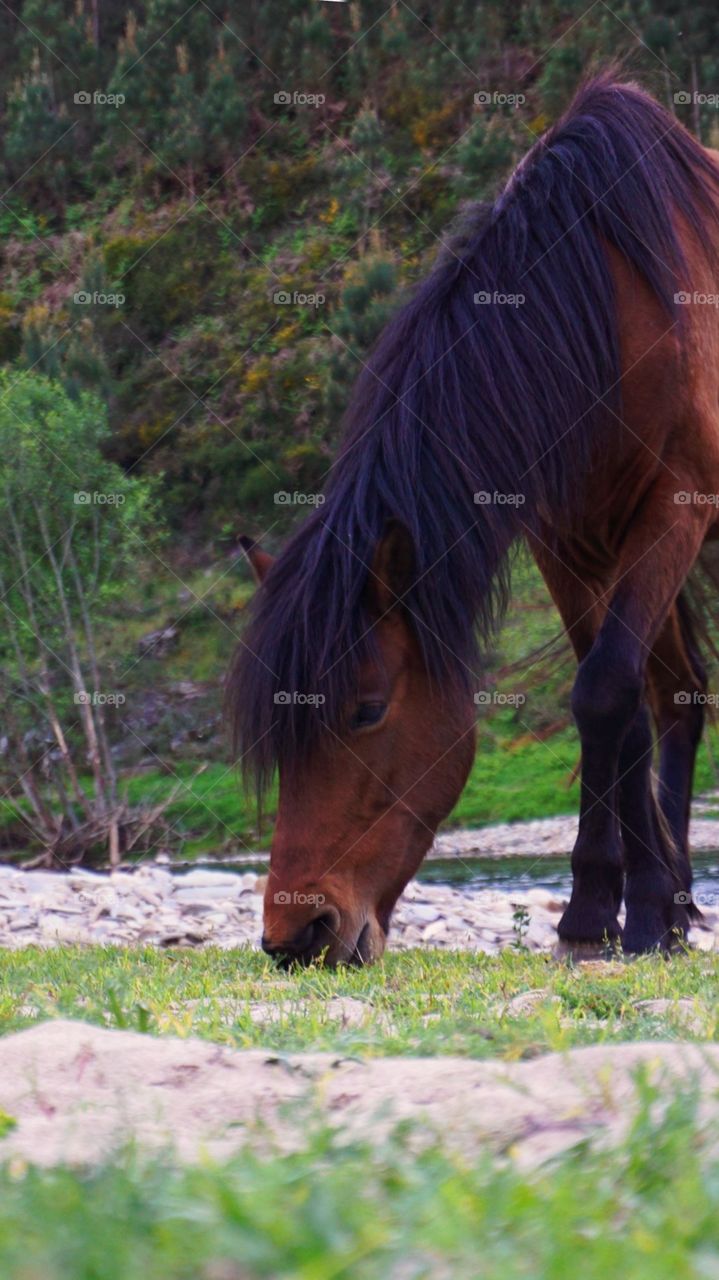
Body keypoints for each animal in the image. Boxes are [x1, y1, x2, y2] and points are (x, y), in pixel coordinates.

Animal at [228, 70, 719, 966]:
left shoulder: (672, 512)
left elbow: (603, 691)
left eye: (366, 709)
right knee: (677, 697)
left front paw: (602, 917)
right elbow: (622, 708)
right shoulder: (569, 543)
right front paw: (631, 912)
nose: (298, 936)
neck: (610, 312)